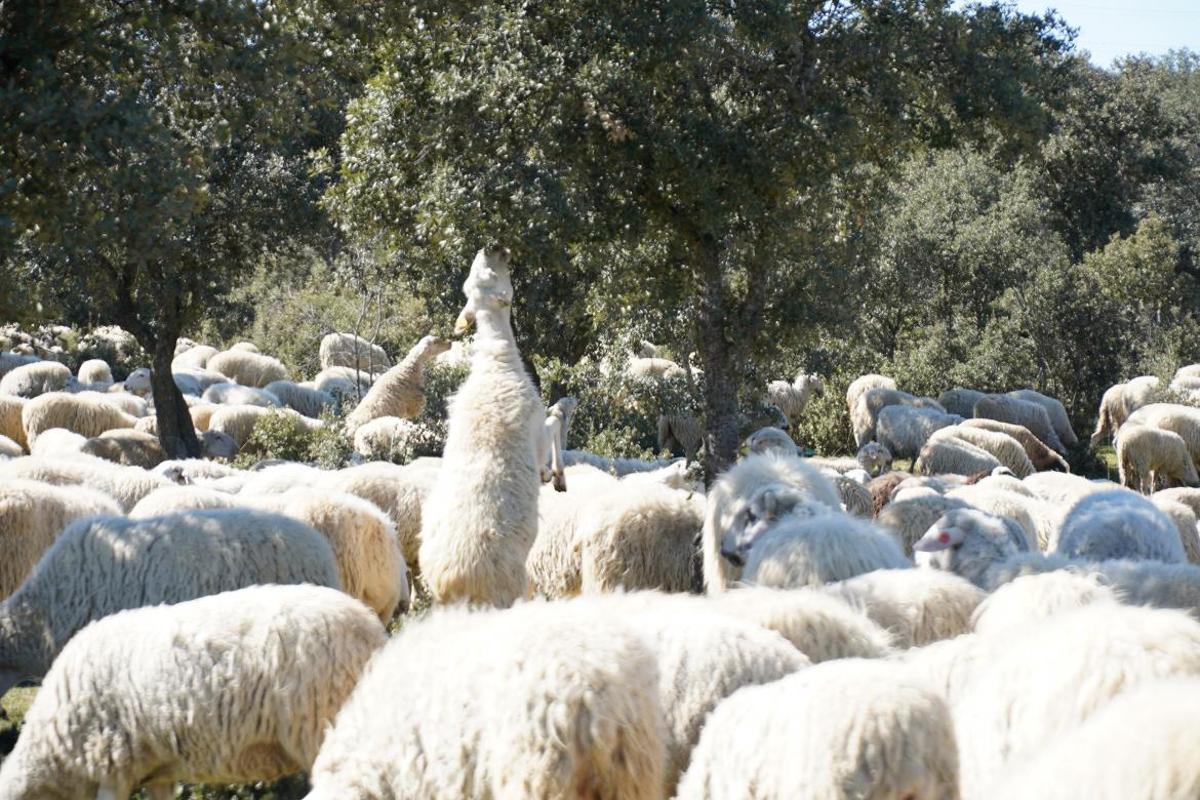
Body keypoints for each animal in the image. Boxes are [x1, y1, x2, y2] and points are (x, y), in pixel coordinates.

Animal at [419, 247, 544, 607]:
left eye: (470, 281)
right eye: (489, 276)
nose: (493, 247)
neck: (495, 361)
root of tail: (453, 582)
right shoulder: (538, 428)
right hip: (508, 588)